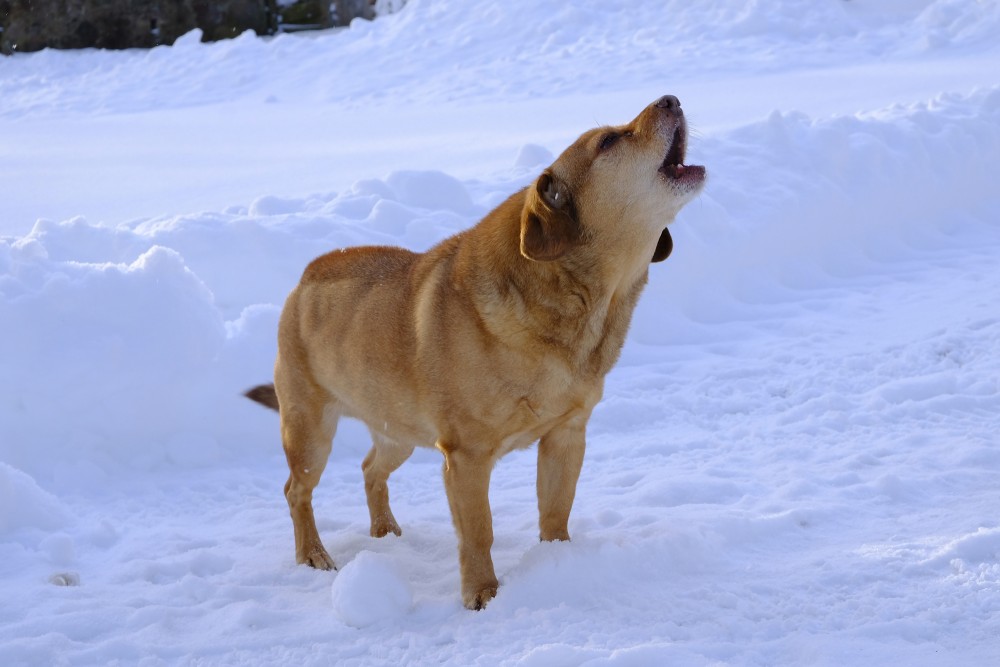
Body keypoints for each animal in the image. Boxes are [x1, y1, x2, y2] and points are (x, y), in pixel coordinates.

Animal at [246, 94, 708, 612]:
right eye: (608, 140)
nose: (672, 98)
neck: (577, 301)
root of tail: (304, 278)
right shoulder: (466, 457)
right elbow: (478, 532)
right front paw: (482, 595)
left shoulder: (566, 435)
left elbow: (556, 512)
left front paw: (559, 565)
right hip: (310, 431)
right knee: (296, 492)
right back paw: (313, 554)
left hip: (397, 428)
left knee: (370, 469)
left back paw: (385, 531)